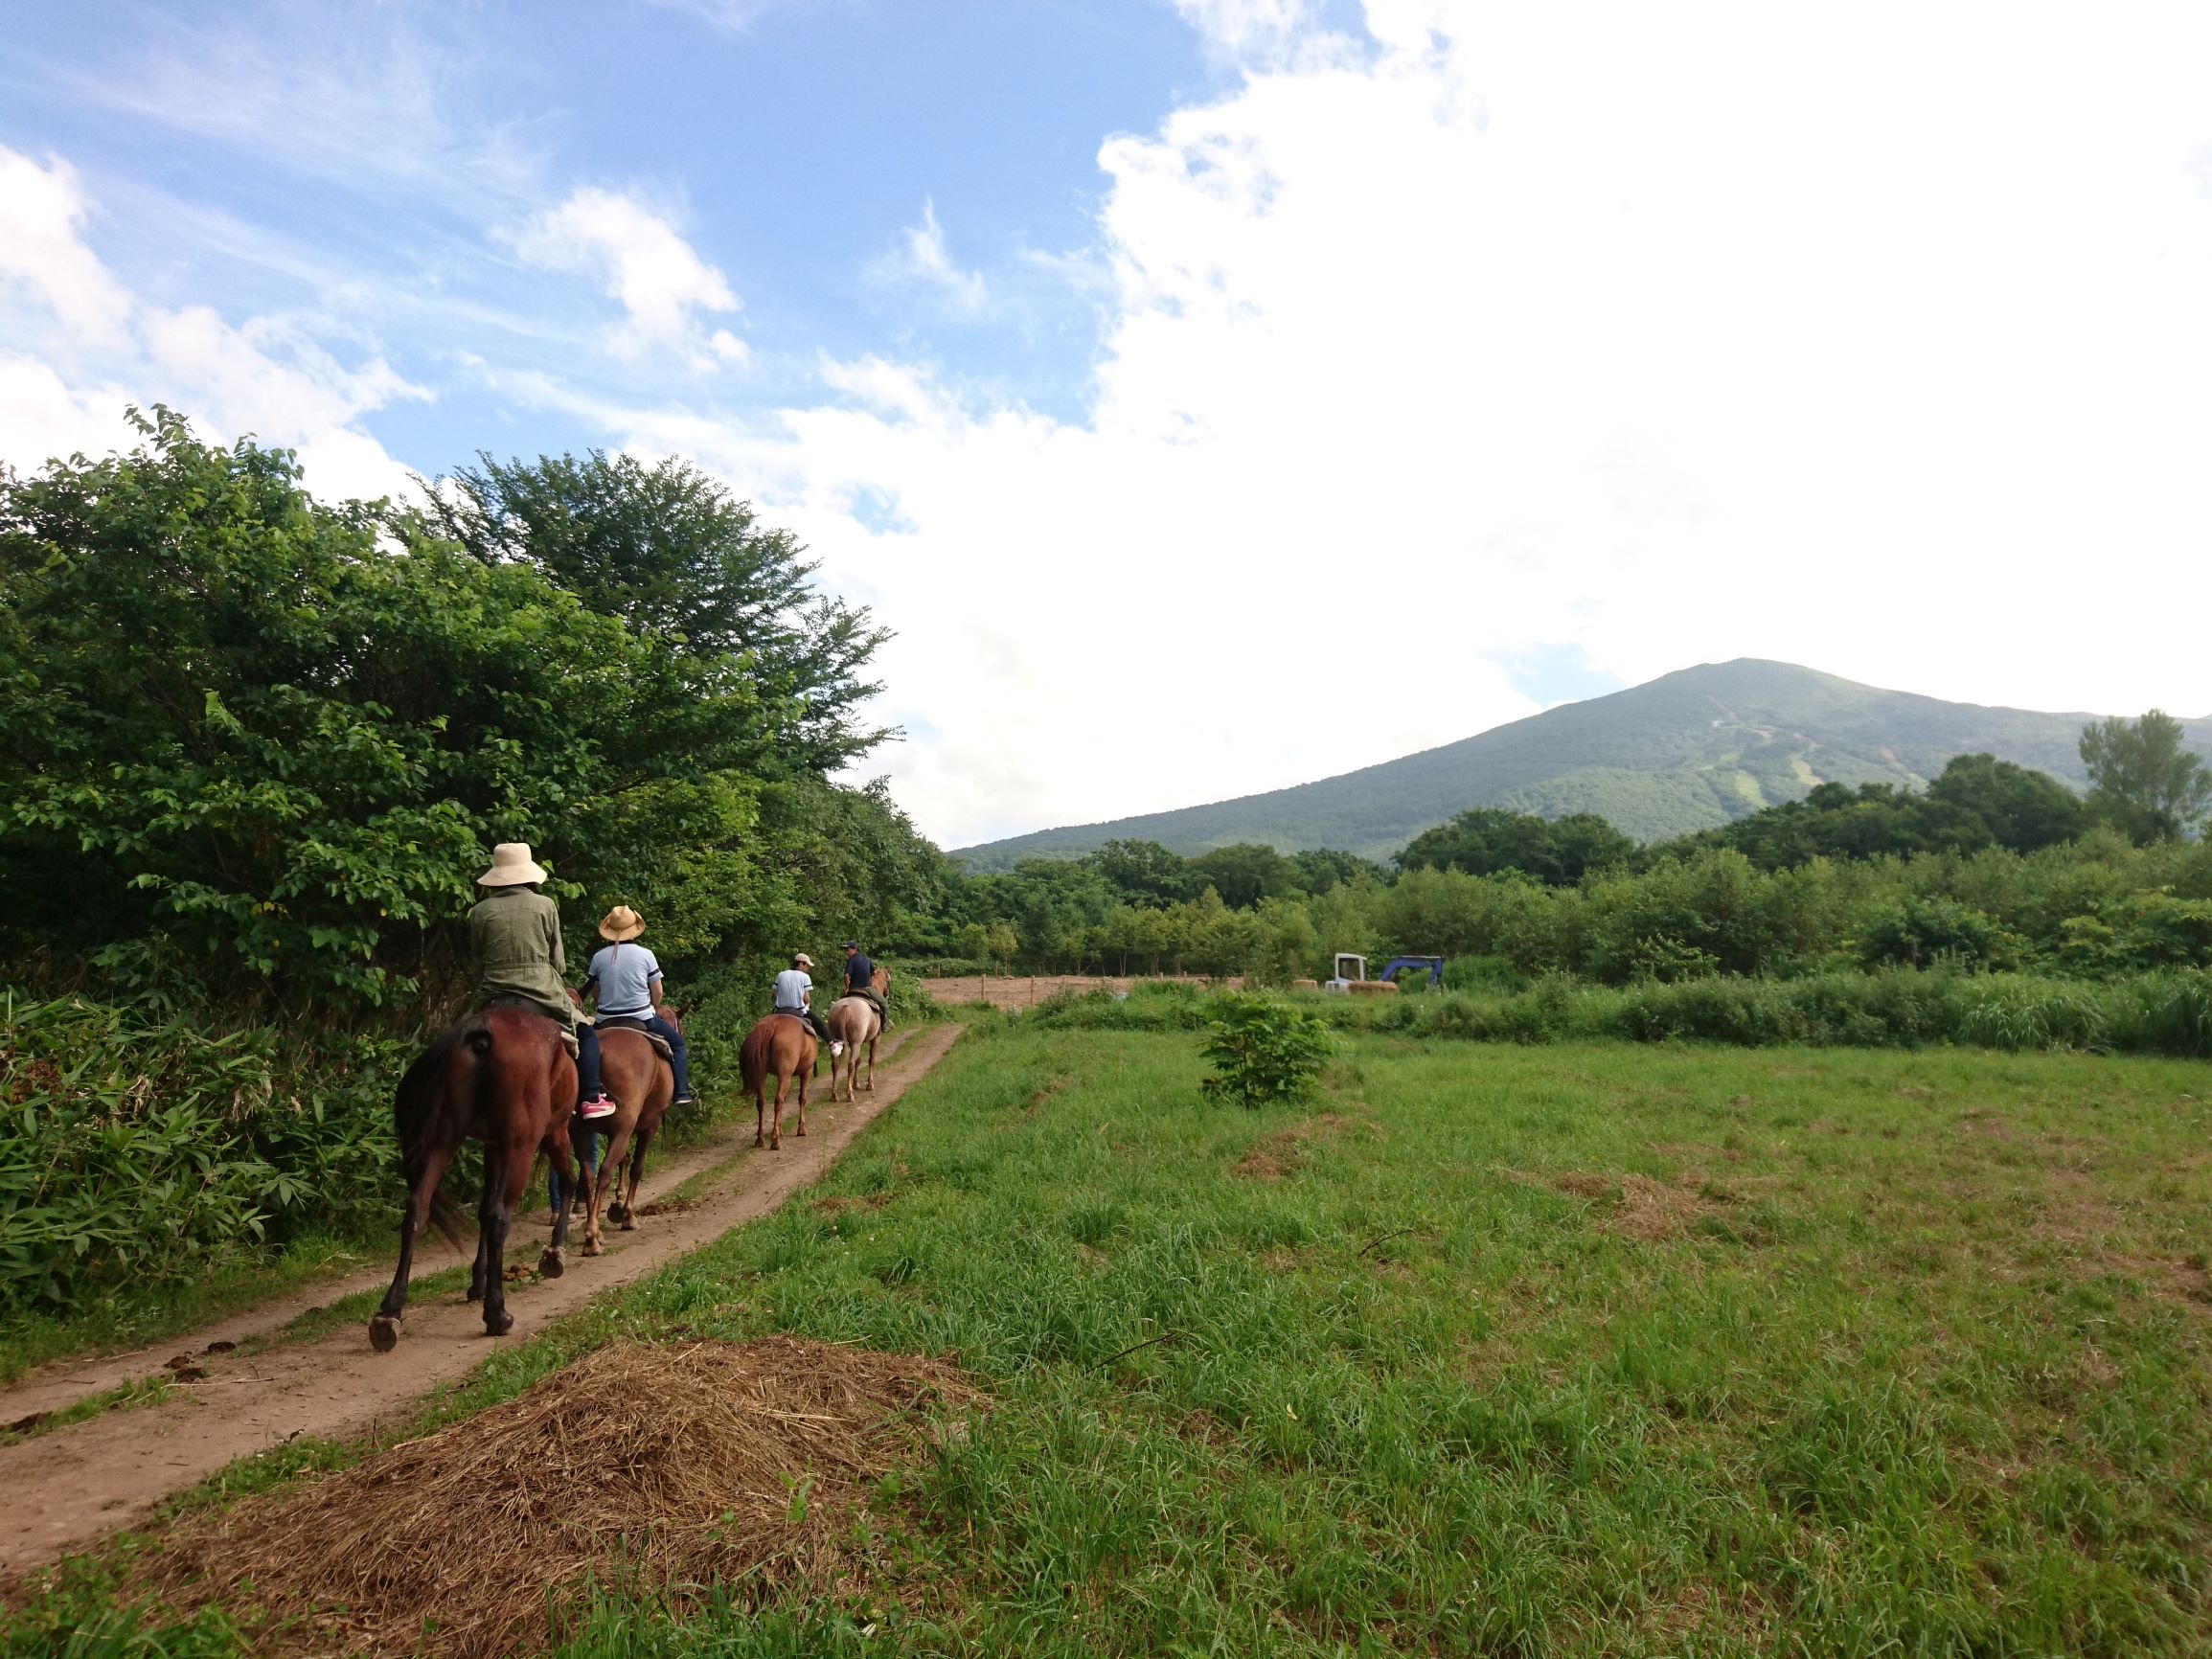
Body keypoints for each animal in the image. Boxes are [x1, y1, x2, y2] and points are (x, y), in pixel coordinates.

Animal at [369, 1012, 588, 1353]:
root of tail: (481, 1032)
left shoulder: (492, 1146)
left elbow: (483, 1209)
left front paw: (478, 1281)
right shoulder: (553, 1132)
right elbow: (566, 1181)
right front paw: (554, 1252)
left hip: (443, 1139)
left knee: (417, 1209)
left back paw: (389, 1313)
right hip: (522, 1146)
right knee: (500, 1215)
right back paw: (497, 1315)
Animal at [739, 1012, 818, 1159]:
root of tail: (772, 1025)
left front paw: (780, 1129)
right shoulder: (806, 1072)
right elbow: (802, 1099)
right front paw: (801, 1129)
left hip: (762, 1075)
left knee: (761, 1102)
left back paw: (760, 1139)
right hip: (785, 1075)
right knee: (778, 1101)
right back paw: (775, 1141)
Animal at [827, 960, 893, 1105]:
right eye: (888, 980)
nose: (887, 994)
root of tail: (844, 1008)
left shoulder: (858, 1043)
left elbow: (859, 1060)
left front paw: (856, 1084)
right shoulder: (875, 1038)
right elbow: (870, 1060)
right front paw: (869, 1084)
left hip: (839, 1043)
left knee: (835, 1065)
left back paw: (834, 1095)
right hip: (857, 1043)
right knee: (850, 1064)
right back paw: (849, 1095)